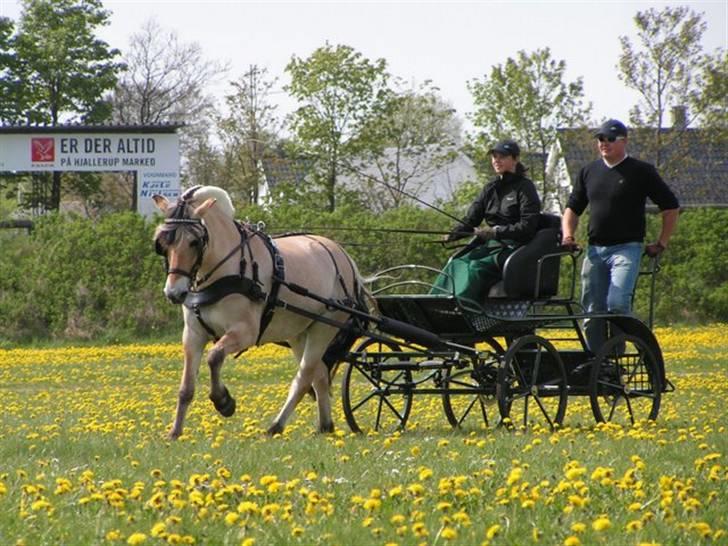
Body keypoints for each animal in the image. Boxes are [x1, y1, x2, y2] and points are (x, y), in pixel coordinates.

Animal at [152, 186, 370, 438]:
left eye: (195, 242)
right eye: (162, 243)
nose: (174, 292)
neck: (227, 268)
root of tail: (343, 256)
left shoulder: (245, 332)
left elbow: (214, 357)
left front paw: (224, 401)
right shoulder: (193, 335)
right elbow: (186, 388)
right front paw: (174, 432)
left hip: (323, 328)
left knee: (304, 377)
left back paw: (276, 426)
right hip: (299, 334)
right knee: (320, 376)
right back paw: (324, 426)